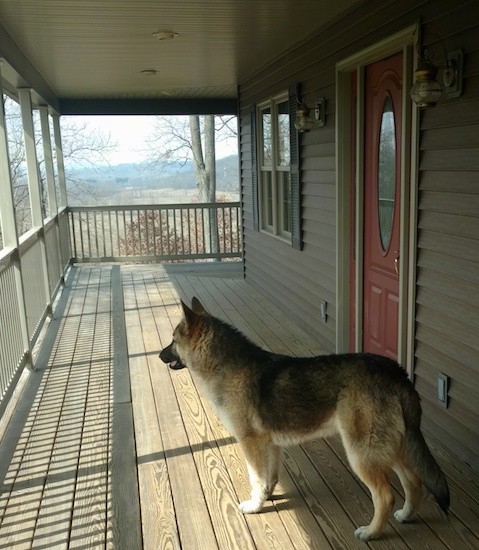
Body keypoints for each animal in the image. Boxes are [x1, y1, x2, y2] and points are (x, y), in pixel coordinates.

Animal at [160, 300, 450, 540]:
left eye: (173, 340)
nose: (160, 355)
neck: (225, 364)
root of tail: (397, 373)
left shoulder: (251, 443)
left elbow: (256, 479)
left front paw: (254, 505)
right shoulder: (270, 445)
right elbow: (269, 477)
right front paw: (267, 497)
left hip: (362, 454)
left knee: (386, 497)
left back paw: (371, 532)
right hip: (389, 448)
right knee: (414, 482)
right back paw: (407, 515)